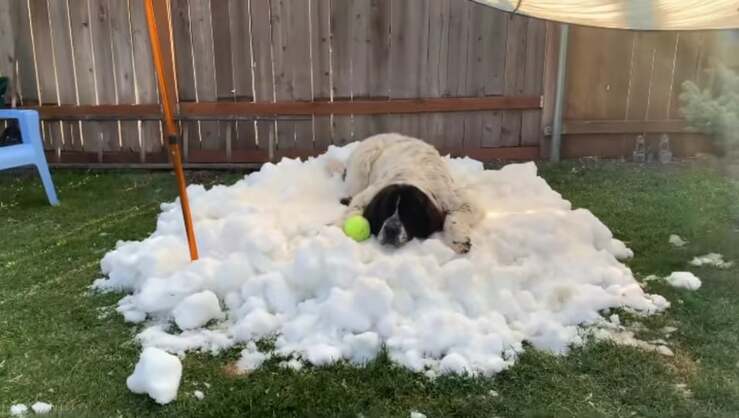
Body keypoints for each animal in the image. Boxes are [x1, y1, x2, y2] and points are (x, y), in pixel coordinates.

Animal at [338, 134, 482, 253]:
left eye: (410, 213)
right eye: (386, 209)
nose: (391, 230)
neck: (410, 176)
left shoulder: (456, 200)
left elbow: (453, 219)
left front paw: (458, 240)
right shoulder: (368, 195)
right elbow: (353, 210)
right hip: (362, 165)